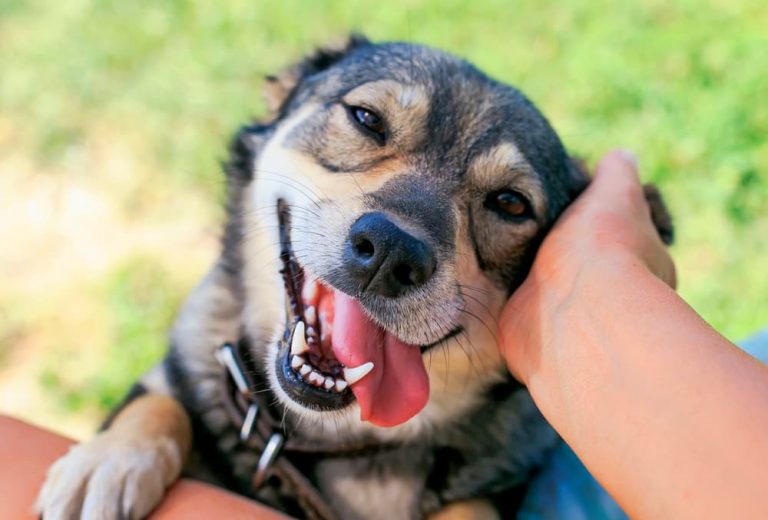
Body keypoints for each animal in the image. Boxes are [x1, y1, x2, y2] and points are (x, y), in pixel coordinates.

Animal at [37, 37, 672, 520]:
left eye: (512, 204)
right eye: (366, 119)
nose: (391, 253)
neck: (333, 439)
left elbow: (471, 508)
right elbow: (158, 404)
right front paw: (110, 460)